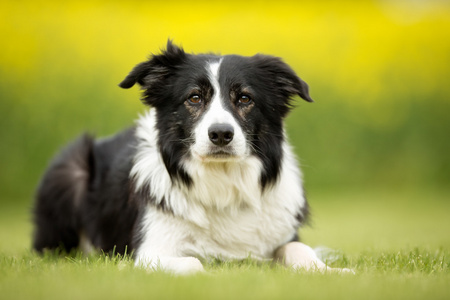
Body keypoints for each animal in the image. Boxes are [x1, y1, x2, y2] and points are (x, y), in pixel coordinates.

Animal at [33, 41, 354, 276]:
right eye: (194, 97)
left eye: (245, 98)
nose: (221, 134)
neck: (222, 182)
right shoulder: (151, 249)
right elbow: (195, 263)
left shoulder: (284, 235)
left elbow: (299, 250)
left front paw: (332, 272)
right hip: (69, 171)